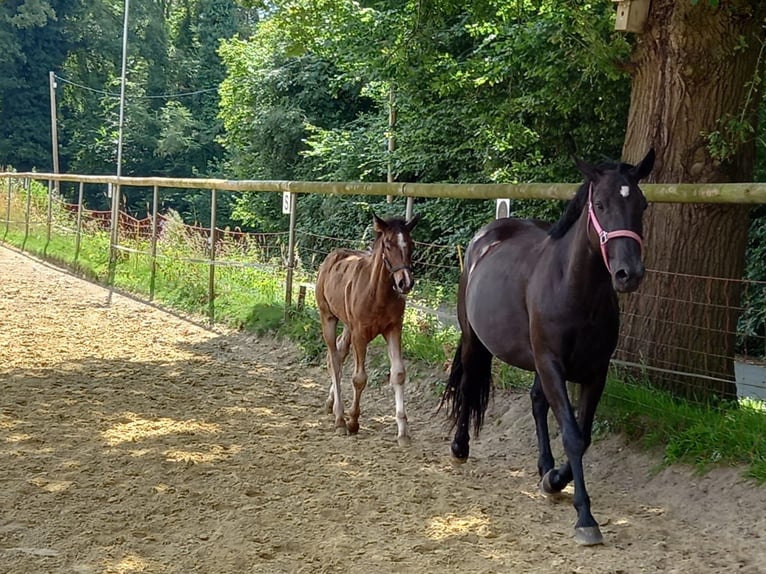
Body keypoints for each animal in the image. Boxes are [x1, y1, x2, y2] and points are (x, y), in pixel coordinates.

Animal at [314, 214, 420, 448]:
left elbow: (398, 374)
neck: (377, 292)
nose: (405, 283)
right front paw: (353, 421)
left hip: (347, 326)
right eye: (388, 244)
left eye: (411, 245)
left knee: (339, 353)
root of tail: (332, 256)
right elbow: (359, 378)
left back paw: (330, 404)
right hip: (328, 317)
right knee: (334, 360)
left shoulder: (393, 329)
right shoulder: (360, 333)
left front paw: (403, 432)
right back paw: (339, 419)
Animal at [448, 151, 656, 548]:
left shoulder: (594, 372)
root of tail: (488, 235)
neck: (575, 291)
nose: (629, 274)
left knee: (536, 402)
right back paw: (460, 447)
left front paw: (555, 479)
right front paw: (585, 518)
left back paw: (544, 466)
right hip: (474, 340)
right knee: (468, 387)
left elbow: (583, 436)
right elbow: (573, 436)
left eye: (642, 204)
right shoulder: (551, 364)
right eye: (600, 204)